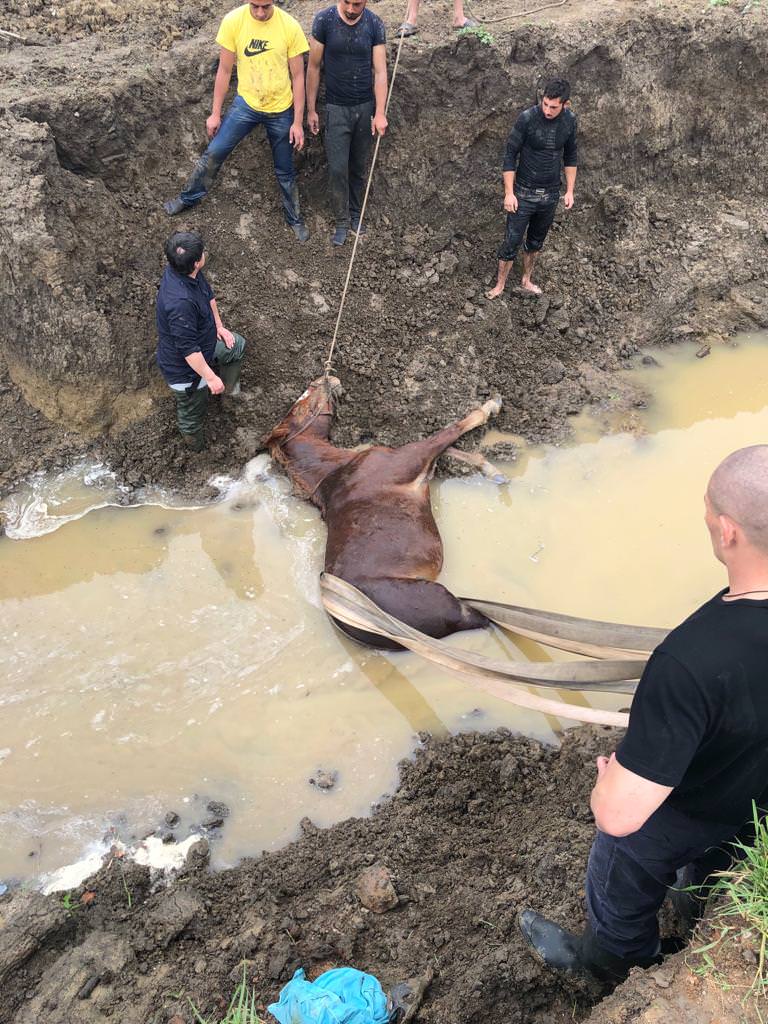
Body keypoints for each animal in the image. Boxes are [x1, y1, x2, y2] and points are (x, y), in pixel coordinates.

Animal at [264, 376, 505, 647]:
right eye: (303, 399)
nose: (328, 379)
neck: (334, 471)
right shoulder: (411, 457)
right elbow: (450, 431)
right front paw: (491, 407)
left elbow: (447, 447)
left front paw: (489, 469)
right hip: (447, 601)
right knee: (487, 619)